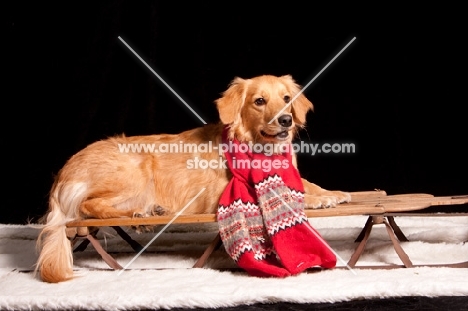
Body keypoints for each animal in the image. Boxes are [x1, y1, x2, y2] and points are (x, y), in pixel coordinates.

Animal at [36, 75, 350, 282]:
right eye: (259, 101)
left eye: (287, 99)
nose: (286, 120)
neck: (262, 150)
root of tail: (63, 173)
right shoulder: (222, 194)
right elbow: (289, 195)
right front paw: (320, 200)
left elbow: (307, 184)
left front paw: (334, 192)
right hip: (136, 165)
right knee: (88, 206)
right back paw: (139, 215)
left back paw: (149, 211)